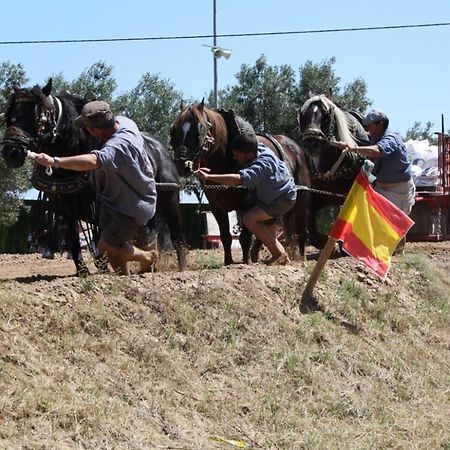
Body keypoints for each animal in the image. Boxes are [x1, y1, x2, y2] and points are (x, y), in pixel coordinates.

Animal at [171, 100, 312, 266]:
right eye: (174, 130)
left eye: (199, 129)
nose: (182, 165)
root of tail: (296, 148)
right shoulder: (217, 207)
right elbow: (225, 236)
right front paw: (228, 262)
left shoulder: (246, 205)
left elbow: (245, 237)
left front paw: (246, 262)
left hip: (301, 201)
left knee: (301, 232)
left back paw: (301, 260)